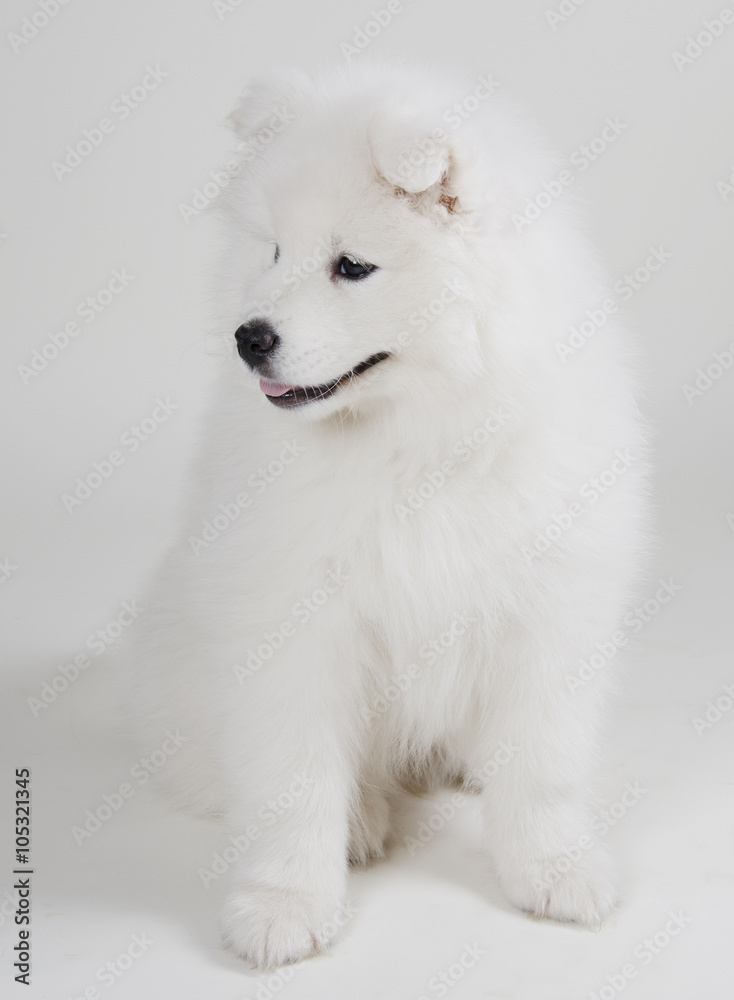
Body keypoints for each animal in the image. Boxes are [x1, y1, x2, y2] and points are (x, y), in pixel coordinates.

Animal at [129, 60, 652, 968]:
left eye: (353, 267)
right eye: (273, 250)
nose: (249, 337)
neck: (415, 443)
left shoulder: (548, 606)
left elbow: (542, 762)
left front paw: (554, 869)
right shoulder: (292, 623)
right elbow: (293, 782)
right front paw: (284, 905)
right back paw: (363, 819)